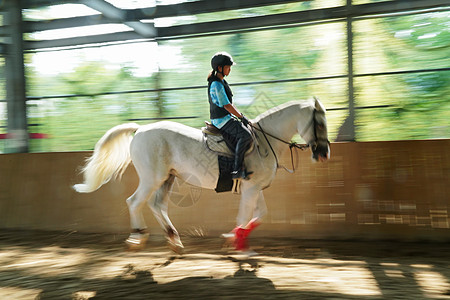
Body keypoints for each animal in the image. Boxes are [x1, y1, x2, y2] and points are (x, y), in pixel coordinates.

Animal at [72, 98, 328, 253]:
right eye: (319, 124)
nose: (324, 154)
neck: (265, 141)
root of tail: (141, 129)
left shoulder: (253, 188)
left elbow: (259, 216)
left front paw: (232, 238)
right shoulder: (251, 188)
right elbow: (245, 216)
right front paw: (240, 248)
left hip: (168, 178)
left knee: (157, 205)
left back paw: (174, 240)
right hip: (151, 178)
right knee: (134, 202)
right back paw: (138, 238)